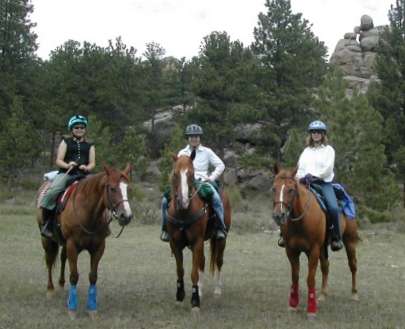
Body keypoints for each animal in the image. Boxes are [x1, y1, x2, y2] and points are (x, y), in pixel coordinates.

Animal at [35, 164, 132, 318]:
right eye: (112, 188)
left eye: (127, 188)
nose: (126, 216)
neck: (88, 212)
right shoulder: (72, 245)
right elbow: (74, 275)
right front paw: (72, 309)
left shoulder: (98, 247)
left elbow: (93, 276)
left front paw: (92, 309)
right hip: (47, 240)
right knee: (49, 261)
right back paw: (50, 289)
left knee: (62, 258)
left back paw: (61, 285)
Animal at [166, 154, 230, 310]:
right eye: (175, 174)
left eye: (191, 174)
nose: (183, 202)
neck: (183, 213)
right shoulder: (175, 244)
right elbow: (180, 270)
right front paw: (180, 295)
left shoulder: (197, 242)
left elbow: (194, 273)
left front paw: (195, 301)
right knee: (202, 262)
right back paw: (200, 290)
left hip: (221, 239)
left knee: (218, 261)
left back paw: (217, 290)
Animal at [270, 164, 358, 318]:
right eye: (274, 188)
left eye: (291, 190)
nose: (278, 215)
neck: (301, 220)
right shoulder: (291, 251)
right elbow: (295, 277)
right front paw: (293, 304)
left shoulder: (314, 250)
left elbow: (310, 278)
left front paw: (311, 309)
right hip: (323, 247)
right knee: (325, 266)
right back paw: (322, 294)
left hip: (349, 242)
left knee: (352, 265)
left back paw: (354, 294)